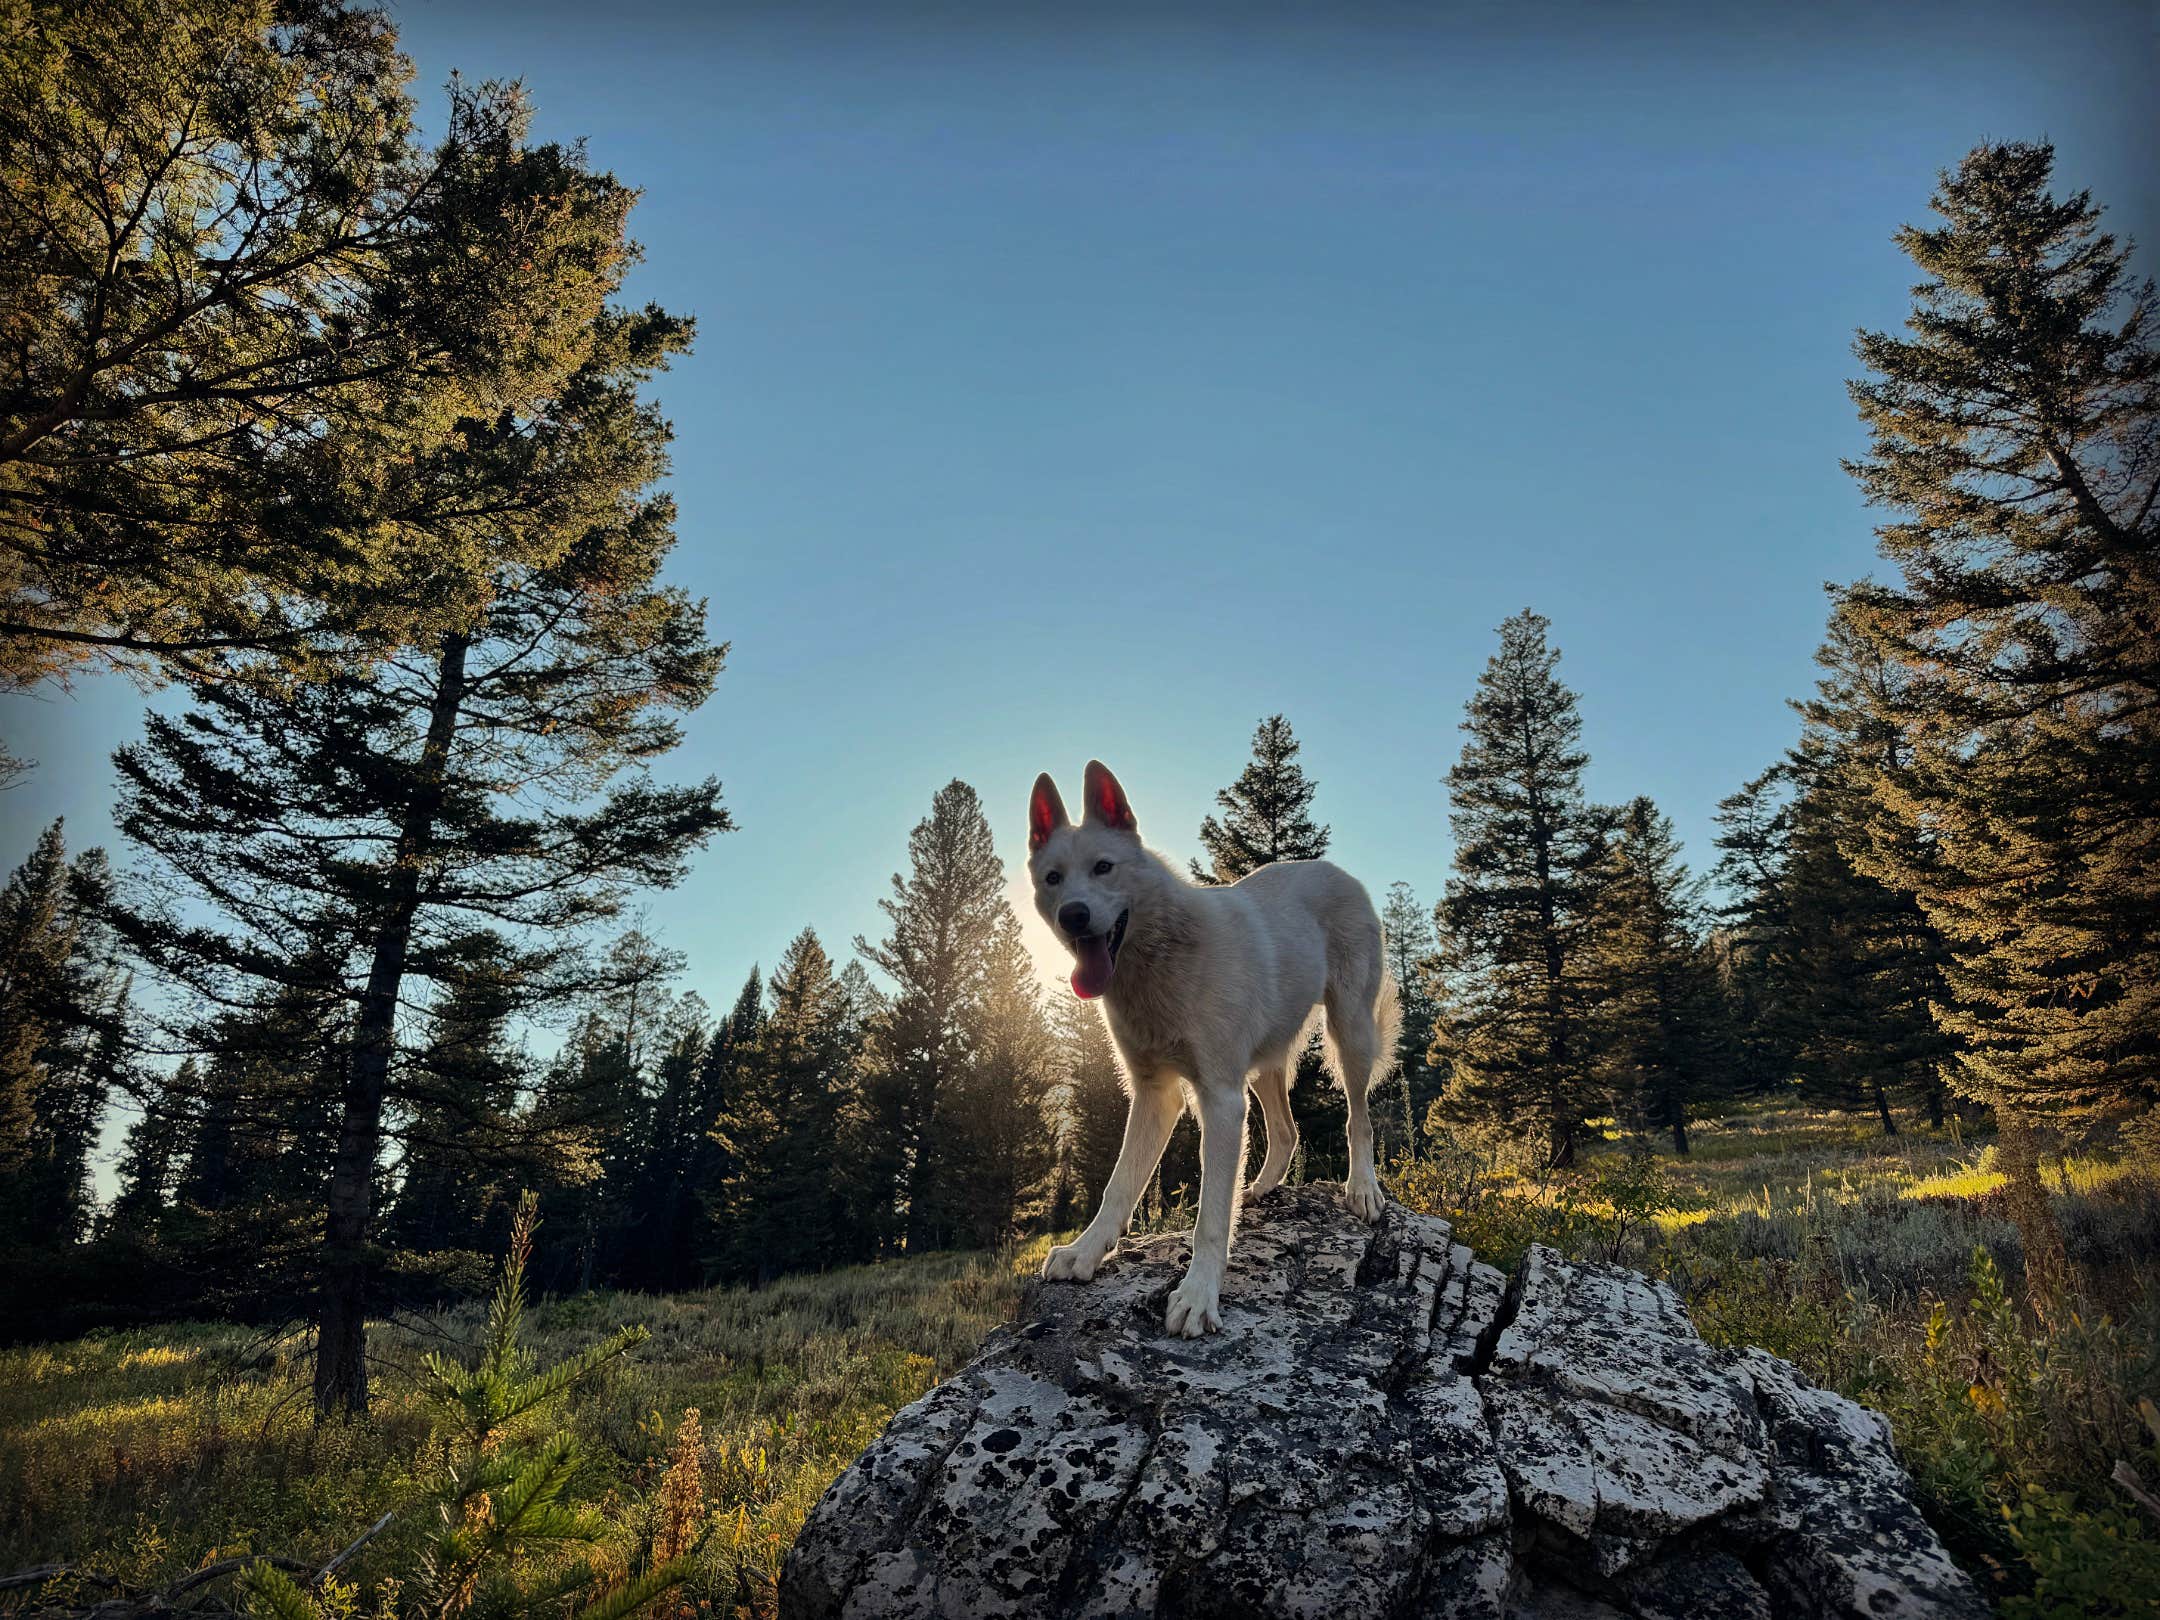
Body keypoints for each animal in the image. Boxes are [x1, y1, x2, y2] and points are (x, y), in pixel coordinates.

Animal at [1028, 768, 1399, 1339]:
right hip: (1263, 1066)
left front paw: (1198, 1295)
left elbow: (1208, 1219)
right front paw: (1086, 1253)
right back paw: (1260, 1189)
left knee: (1359, 1119)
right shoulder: (1156, 1095)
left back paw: (1362, 1190)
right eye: (1053, 878)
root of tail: (1335, 869)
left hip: (1350, 1034)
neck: (1157, 962)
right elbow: (1119, 1186)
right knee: (1287, 1131)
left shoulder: (1220, 1100)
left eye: (1103, 867)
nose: (1073, 915)